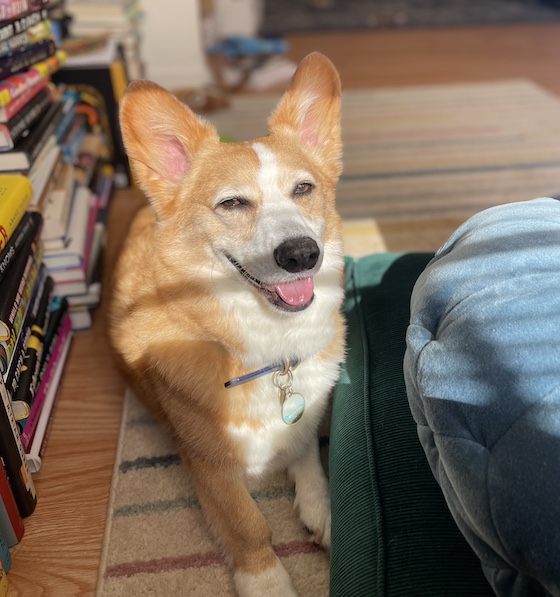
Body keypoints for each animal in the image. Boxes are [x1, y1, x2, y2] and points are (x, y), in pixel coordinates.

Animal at [108, 52, 346, 596]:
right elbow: (247, 524)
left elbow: (308, 455)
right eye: (233, 203)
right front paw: (268, 582)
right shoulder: (207, 463)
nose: (302, 255)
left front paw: (323, 514)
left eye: (304, 189)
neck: (269, 347)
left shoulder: (304, 420)